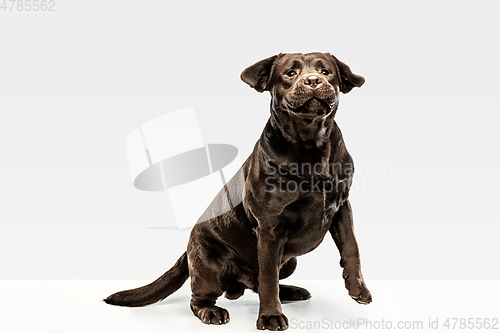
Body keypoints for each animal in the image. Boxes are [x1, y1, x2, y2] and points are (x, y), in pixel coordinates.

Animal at [105, 52, 372, 330]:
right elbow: (268, 278)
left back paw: (291, 291)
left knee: (261, 282)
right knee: (203, 297)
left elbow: (352, 247)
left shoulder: (341, 208)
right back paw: (212, 311)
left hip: (290, 262)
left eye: (325, 71)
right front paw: (270, 316)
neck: (311, 145)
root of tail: (187, 251)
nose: (313, 80)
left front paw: (358, 289)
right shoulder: (269, 228)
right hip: (210, 268)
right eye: (290, 73)